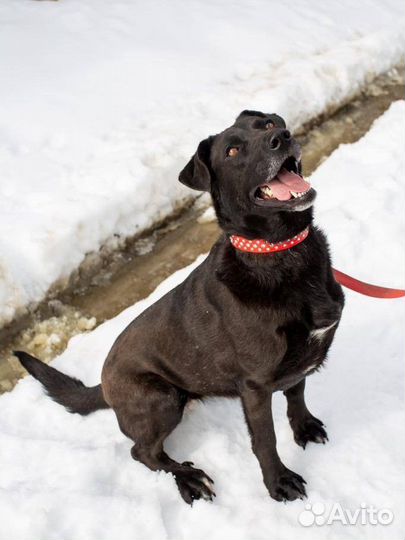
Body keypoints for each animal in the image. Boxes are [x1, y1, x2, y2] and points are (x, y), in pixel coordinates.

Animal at [15, 110, 344, 506]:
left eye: (266, 125)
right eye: (233, 151)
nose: (281, 137)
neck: (281, 255)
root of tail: (103, 384)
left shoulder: (299, 361)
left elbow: (297, 394)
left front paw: (305, 428)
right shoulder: (255, 385)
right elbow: (265, 440)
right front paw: (278, 483)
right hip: (162, 398)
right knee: (142, 452)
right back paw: (188, 479)